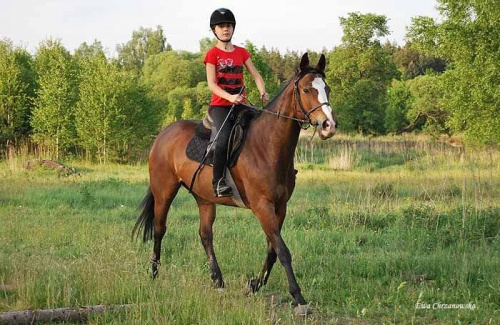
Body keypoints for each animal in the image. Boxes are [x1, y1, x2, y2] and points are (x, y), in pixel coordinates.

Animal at [133, 52, 336, 312]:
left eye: (326, 88)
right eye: (307, 89)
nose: (329, 126)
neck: (267, 146)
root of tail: (163, 134)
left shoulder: (280, 207)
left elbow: (272, 250)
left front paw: (254, 285)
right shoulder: (262, 206)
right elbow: (282, 250)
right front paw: (298, 297)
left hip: (204, 197)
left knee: (205, 235)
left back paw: (218, 280)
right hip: (164, 191)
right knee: (159, 229)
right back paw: (154, 273)